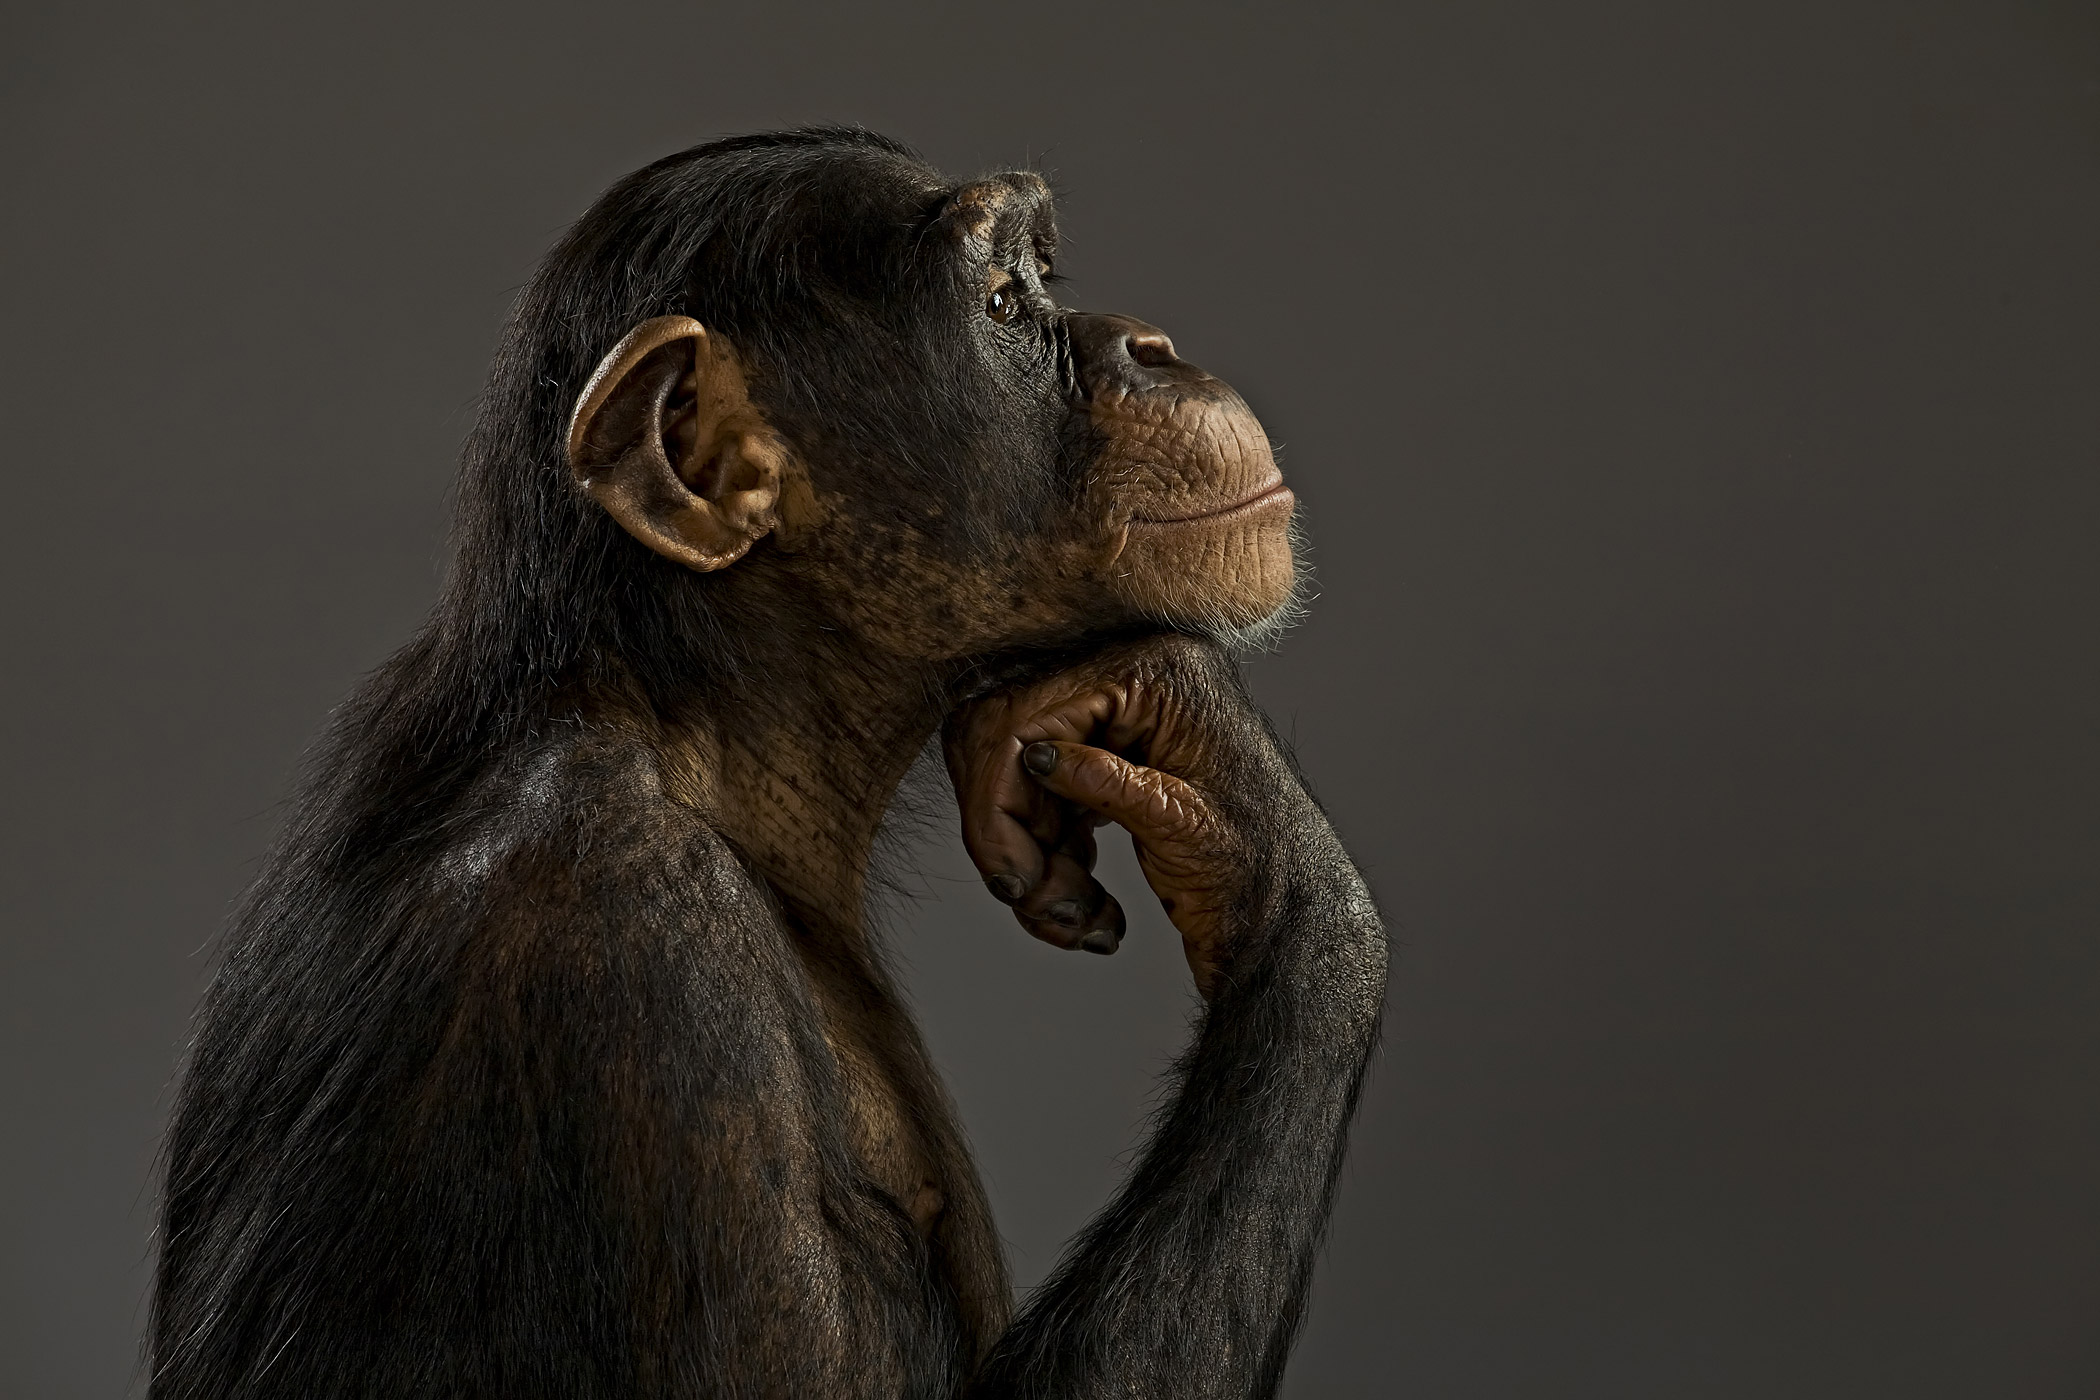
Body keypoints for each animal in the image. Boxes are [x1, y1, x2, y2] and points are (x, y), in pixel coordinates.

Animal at [150, 126, 1386, 1399]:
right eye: (1002, 302)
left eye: (1044, 275)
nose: (1151, 343)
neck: (702, 730)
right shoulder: (636, 958)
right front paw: (1265, 832)